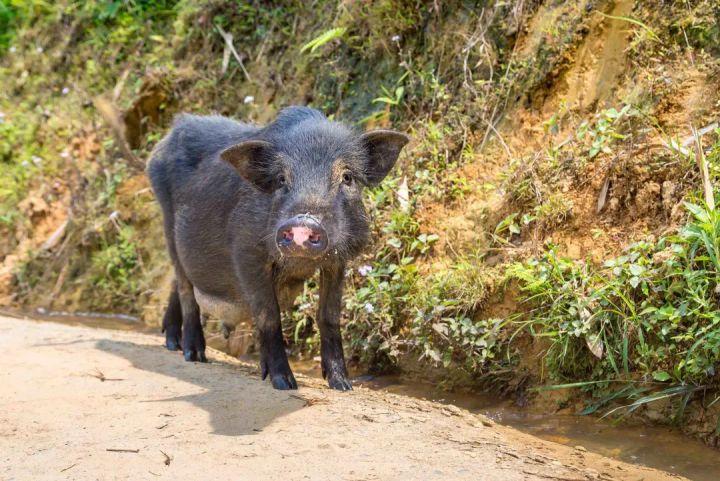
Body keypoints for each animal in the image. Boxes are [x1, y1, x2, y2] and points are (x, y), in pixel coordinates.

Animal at [148, 107, 404, 388]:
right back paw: (193, 355)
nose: (304, 222)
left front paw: (342, 385)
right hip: (168, 226)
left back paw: (172, 343)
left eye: (347, 177)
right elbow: (269, 315)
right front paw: (283, 383)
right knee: (185, 289)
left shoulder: (337, 261)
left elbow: (329, 315)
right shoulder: (247, 252)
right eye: (281, 179)